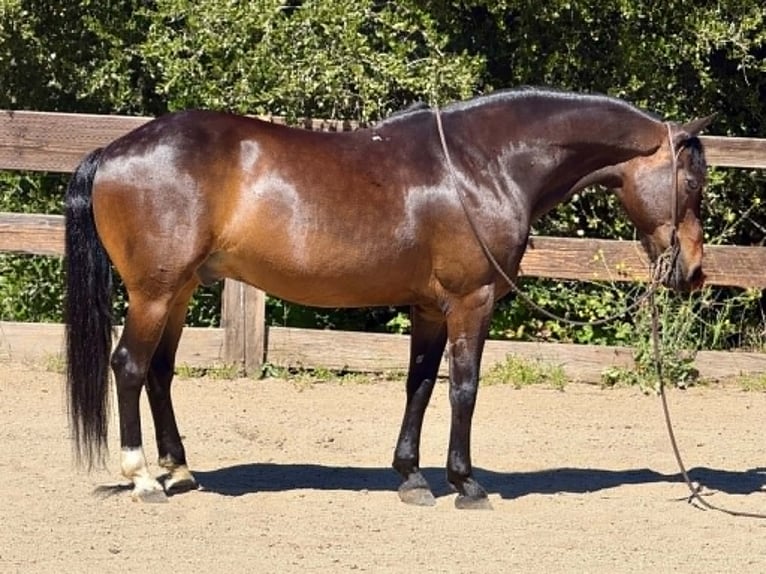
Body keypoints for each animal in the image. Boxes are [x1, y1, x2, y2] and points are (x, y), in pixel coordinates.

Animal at [64, 88, 713, 508]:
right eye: (691, 181)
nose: (694, 271)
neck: (484, 166)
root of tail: (113, 152)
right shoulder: (471, 301)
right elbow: (464, 387)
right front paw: (465, 484)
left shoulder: (429, 308)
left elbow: (420, 386)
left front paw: (411, 477)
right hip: (154, 293)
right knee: (130, 367)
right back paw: (143, 479)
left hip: (177, 292)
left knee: (160, 372)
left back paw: (179, 471)